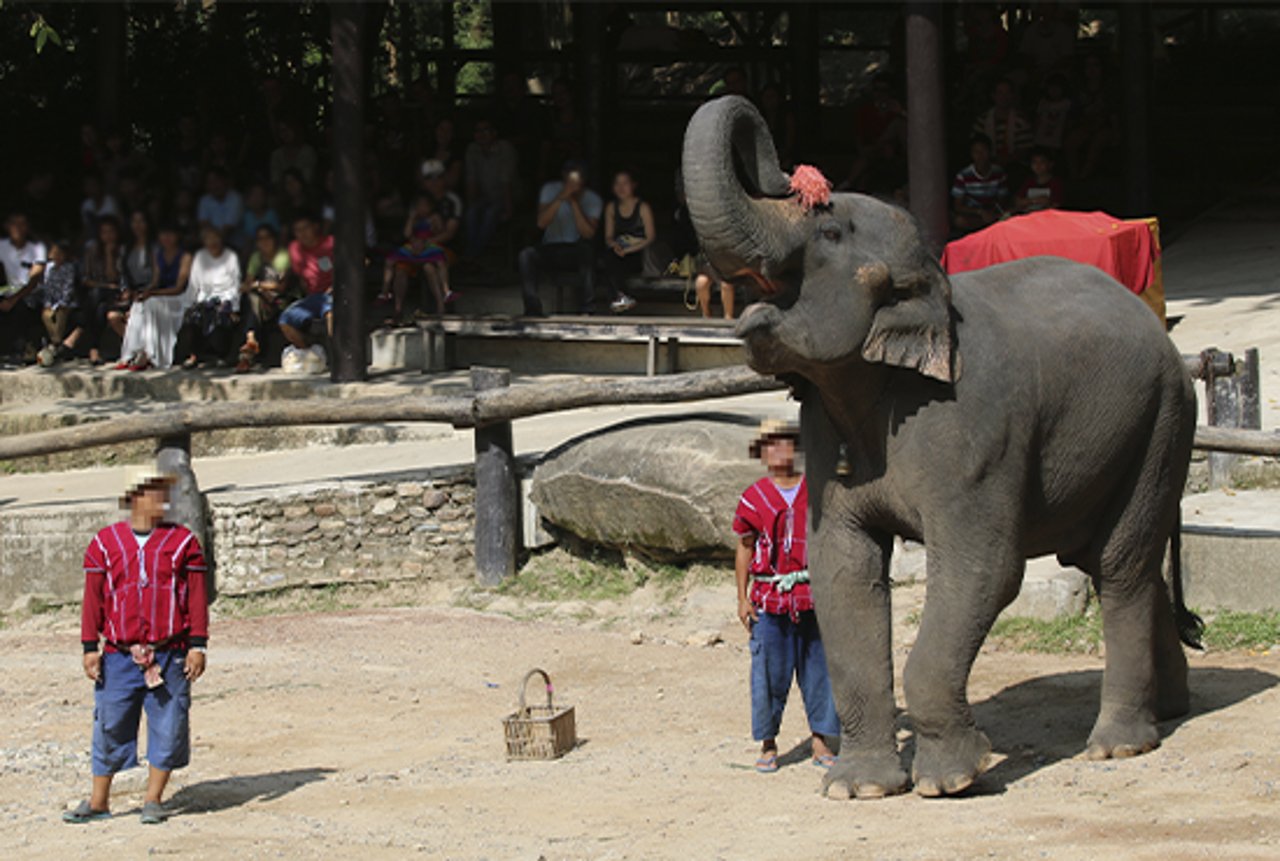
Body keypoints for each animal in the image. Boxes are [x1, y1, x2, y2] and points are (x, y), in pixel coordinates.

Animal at [686, 99, 1192, 798]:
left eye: (831, 231)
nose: (790, 167)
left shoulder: (973, 430)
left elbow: (983, 568)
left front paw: (949, 780)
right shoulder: (825, 434)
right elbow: (842, 569)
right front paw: (860, 787)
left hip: (1161, 422)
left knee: (1120, 566)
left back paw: (1116, 745)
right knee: (1114, 561)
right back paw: (1171, 710)